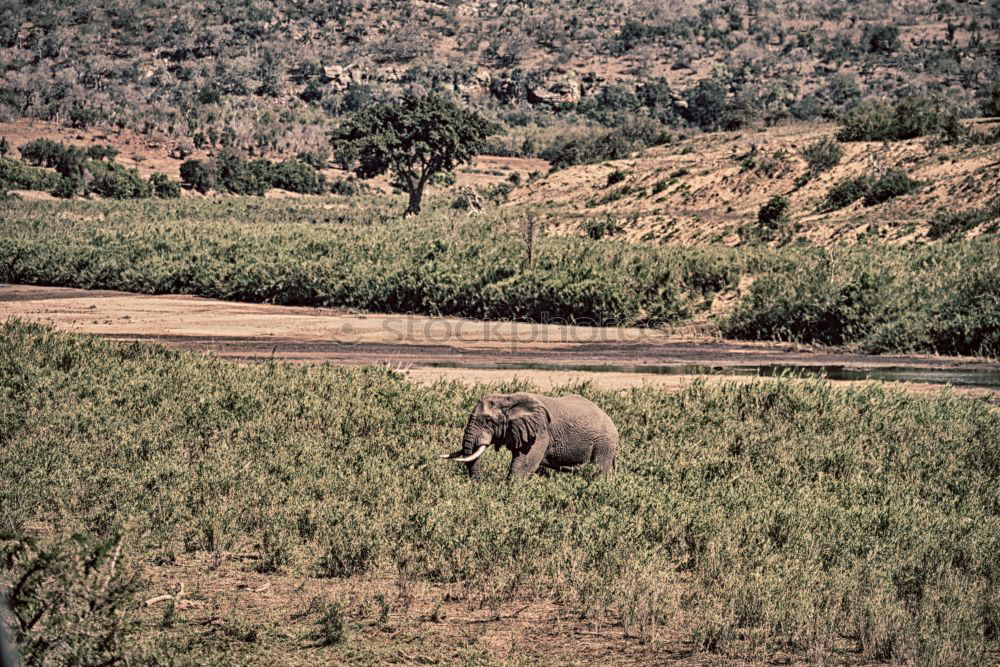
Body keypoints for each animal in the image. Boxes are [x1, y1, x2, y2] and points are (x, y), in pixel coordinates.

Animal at [440, 392, 616, 480]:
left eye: (488, 421)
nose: (478, 483)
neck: (508, 398)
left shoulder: (540, 433)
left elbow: (524, 464)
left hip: (605, 443)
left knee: (600, 469)